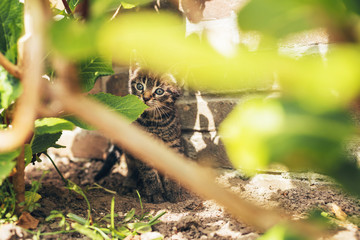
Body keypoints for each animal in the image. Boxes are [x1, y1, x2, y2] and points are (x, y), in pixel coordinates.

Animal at [94, 65, 186, 202]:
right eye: (140, 86)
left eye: (159, 91)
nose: (146, 98)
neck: (154, 121)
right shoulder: (141, 146)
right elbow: (149, 172)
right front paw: (155, 193)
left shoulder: (173, 143)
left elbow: (173, 169)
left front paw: (173, 191)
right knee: (132, 168)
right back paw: (129, 183)